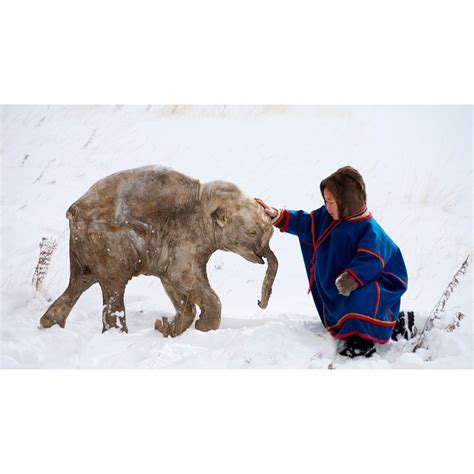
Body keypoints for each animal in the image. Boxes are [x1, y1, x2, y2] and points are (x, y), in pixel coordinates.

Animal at [40, 167, 280, 336]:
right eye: (251, 232)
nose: (259, 303)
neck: (204, 200)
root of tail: (73, 211)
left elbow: (173, 284)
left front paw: (167, 328)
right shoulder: (185, 238)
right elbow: (181, 278)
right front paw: (199, 328)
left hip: (85, 245)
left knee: (81, 281)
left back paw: (47, 324)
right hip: (106, 243)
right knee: (114, 285)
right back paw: (117, 336)